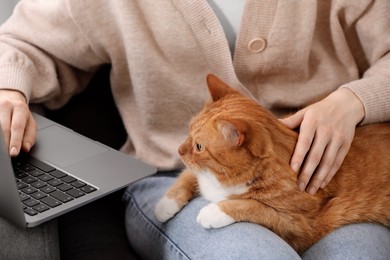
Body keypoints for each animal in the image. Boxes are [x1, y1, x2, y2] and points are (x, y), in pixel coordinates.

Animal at [155, 73, 390, 254]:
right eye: (188, 132)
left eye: (199, 146)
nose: (179, 150)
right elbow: (187, 176)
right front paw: (165, 203)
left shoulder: (299, 227)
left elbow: (256, 207)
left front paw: (215, 211)